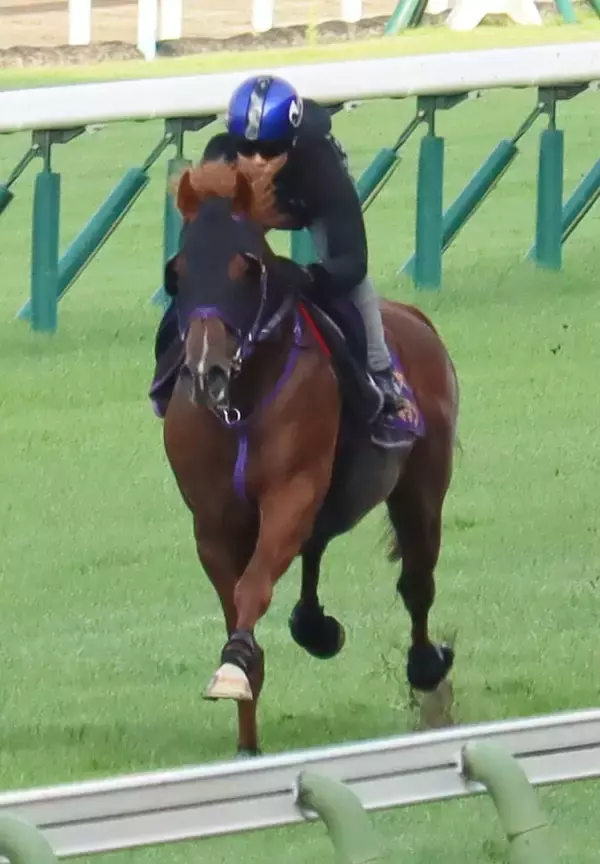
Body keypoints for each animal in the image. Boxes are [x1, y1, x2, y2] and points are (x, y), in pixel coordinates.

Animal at [153, 155, 460, 756]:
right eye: (178, 270)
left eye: (245, 267)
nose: (206, 372)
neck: (242, 404)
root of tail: (416, 317)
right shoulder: (213, 522)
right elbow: (237, 604)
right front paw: (247, 736)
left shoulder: (291, 491)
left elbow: (253, 586)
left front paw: (234, 666)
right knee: (316, 554)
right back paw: (315, 626)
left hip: (421, 487)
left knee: (416, 580)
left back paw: (426, 667)